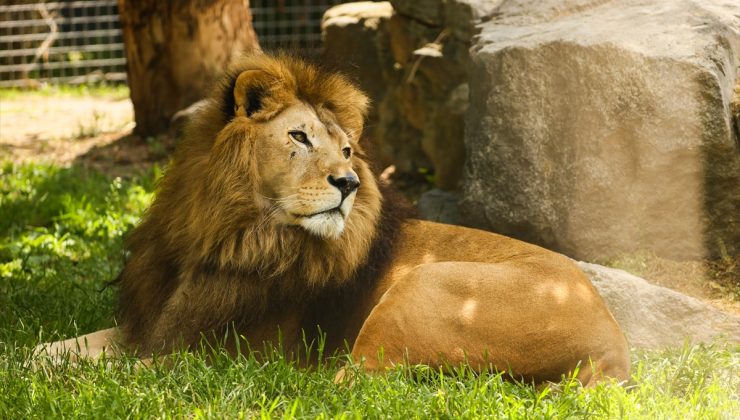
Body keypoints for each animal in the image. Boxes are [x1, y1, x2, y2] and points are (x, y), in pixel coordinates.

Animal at [39, 53, 632, 388]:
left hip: (423, 288)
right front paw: (38, 362)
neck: (226, 235)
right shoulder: (161, 322)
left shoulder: (218, 345)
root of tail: (615, 347)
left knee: (351, 383)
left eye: (347, 151)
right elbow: (49, 350)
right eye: (299, 136)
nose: (348, 183)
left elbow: (128, 367)